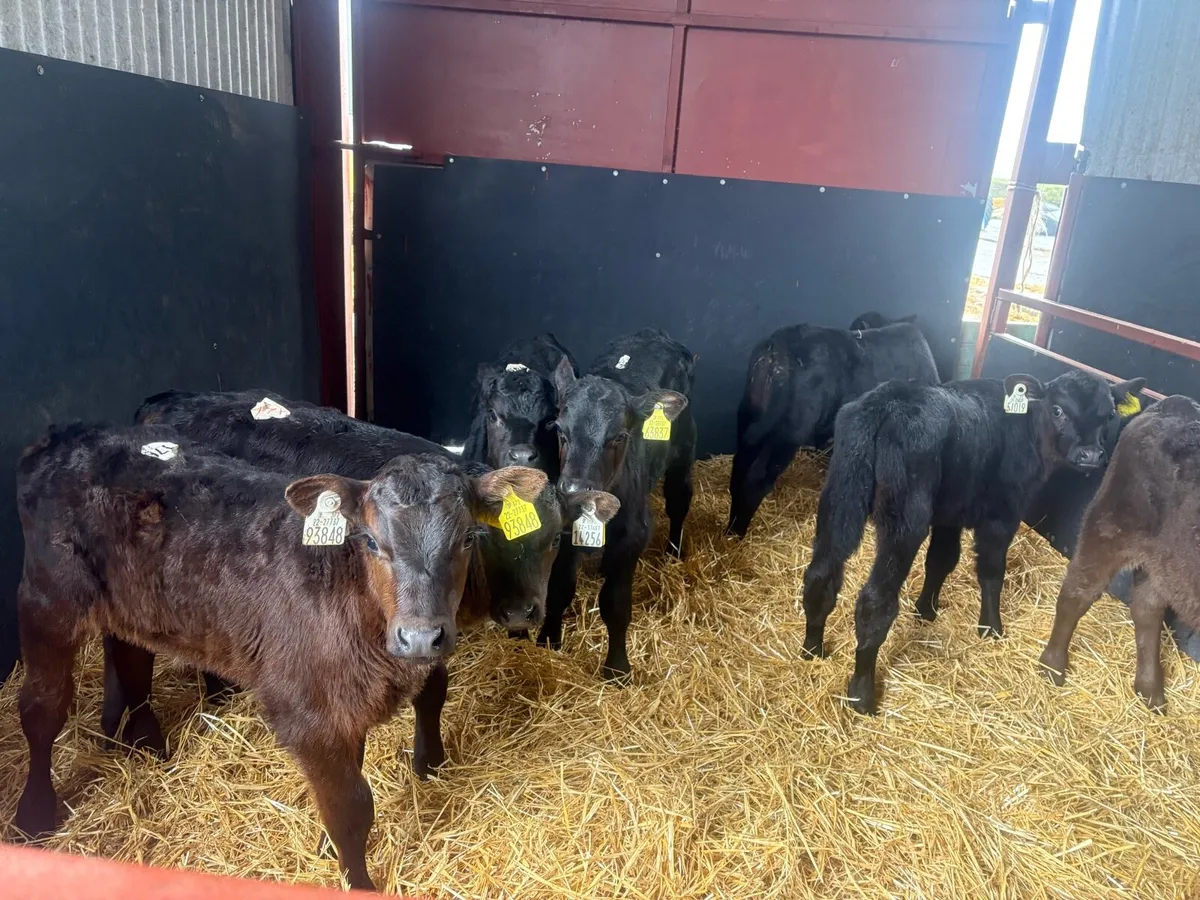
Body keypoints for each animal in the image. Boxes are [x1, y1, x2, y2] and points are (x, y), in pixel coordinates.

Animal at [12, 422, 548, 890]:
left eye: (467, 538)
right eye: (371, 541)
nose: (420, 639)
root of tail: (63, 435)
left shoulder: (342, 701)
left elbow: (349, 781)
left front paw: (329, 851)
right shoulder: (306, 713)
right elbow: (351, 807)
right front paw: (357, 881)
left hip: (131, 598)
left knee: (130, 655)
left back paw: (145, 743)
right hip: (46, 599)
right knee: (42, 707)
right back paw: (33, 814)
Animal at [545, 328, 697, 680]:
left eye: (619, 436)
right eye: (560, 431)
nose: (574, 491)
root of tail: (657, 334)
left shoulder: (633, 535)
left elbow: (615, 604)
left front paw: (617, 668)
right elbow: (558, 588)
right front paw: (547, 641)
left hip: (684, 451)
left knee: (679, 502)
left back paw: (674, 551)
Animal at [727, 314, 938, 537]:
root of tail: (776, 346)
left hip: (749, 421)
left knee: (740, 467)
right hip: (788, 433)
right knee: (756, 480)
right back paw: (738, 533)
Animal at [801, 369, 1146, 715]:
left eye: (1110, 414)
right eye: (1058, 409)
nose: (1091, 454)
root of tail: (884, 403)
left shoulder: (949, 514)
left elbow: (941, 560)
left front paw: (926, 611)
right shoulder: (1002, 513)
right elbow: (992, 573)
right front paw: (991, 627)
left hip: (842, 496)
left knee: (821, 575)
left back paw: (813, 649)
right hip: (905, 519)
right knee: (875, 602)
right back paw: (861, 694)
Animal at [1040, 394, 1200, 711]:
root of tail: (1175, 403)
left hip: (1165, 562)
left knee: (1147, 608)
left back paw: (1149, 690)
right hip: (1108, 525)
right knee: (1077, 592)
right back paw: (1052, 666)